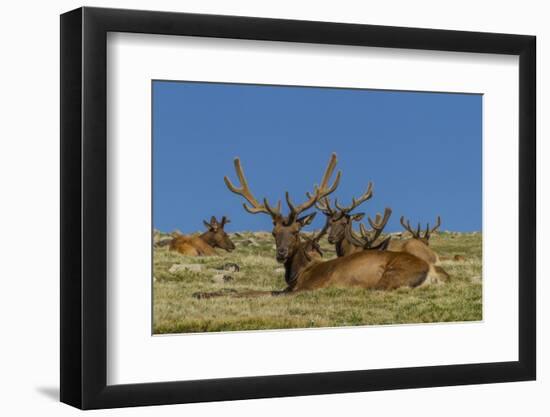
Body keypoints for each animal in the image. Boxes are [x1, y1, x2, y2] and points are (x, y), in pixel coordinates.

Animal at [196, 154, 446, 298]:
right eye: (274, 232)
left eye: (296, 231)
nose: (281, 252)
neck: (298, 274)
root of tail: (432, 271)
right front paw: (203, 293)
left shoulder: (306, 289)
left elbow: (260, 294)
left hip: (392, 275)